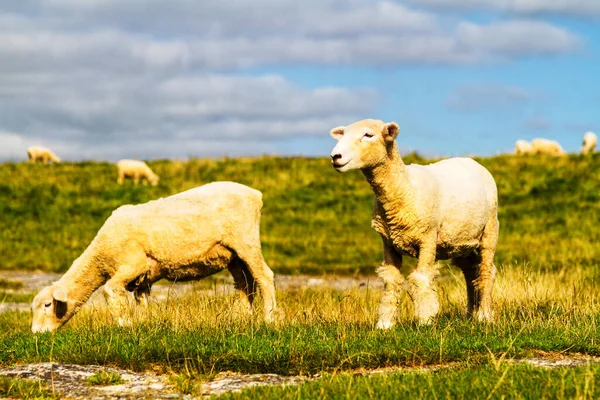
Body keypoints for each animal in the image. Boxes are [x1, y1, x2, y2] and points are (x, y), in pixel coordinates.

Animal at [30, 183, 276, 332]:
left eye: (47, 304)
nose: (36, 334)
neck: (101, 256)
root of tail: (256, 195)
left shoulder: (133, 263)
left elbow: (110, 291)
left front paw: (125, 325)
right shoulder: (143, 278)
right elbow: (142, 301)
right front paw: (143, 326)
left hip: (246, 241)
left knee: (265, 277)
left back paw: (269, 319)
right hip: (232, 255)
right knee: (245, 284)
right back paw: (242, 318)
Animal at [328, 119, 496, 328]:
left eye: (368, 135)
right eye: (343, 135)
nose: (335, 156)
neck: (404, 188)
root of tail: (470, 160)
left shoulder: (428, 238)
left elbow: (421, 278)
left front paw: (425, 320)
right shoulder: (388, 241)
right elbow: (391, 281)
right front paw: (385, 323)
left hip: (490, 229)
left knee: (486, 271)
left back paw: (484, 315)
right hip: (462, 241)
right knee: (470, 271)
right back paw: (470, 314)